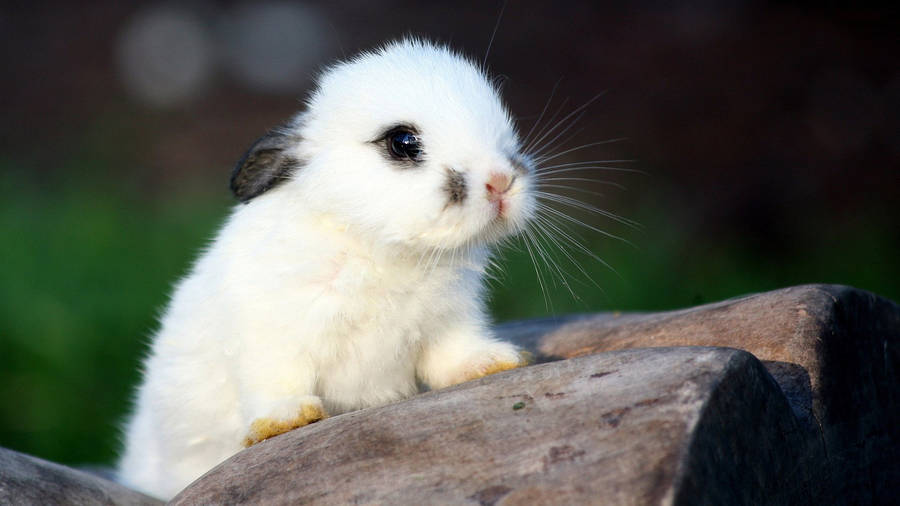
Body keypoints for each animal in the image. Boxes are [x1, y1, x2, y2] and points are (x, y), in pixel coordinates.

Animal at [116, 39, 539, 499]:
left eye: (502, 129)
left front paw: (493, 362)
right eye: (403, 142)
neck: (380, 248)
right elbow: (276, 379)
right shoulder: (272, 334)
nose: (501, 182)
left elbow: (452, 356)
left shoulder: (448, 322)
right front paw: (287, 420)